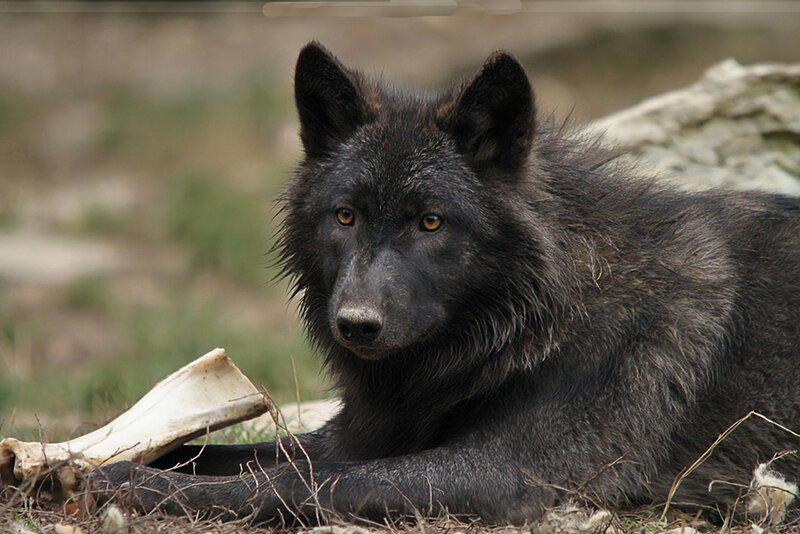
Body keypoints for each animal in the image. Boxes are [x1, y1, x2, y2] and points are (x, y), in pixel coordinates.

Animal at [92, 43, 800, 525]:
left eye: (431, 221)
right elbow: (225, 453)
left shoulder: (506, 474)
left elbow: (305, 483)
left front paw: (139, 487)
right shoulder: (362, 433)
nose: (355, 324)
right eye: (345, 216)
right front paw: (88, 462)